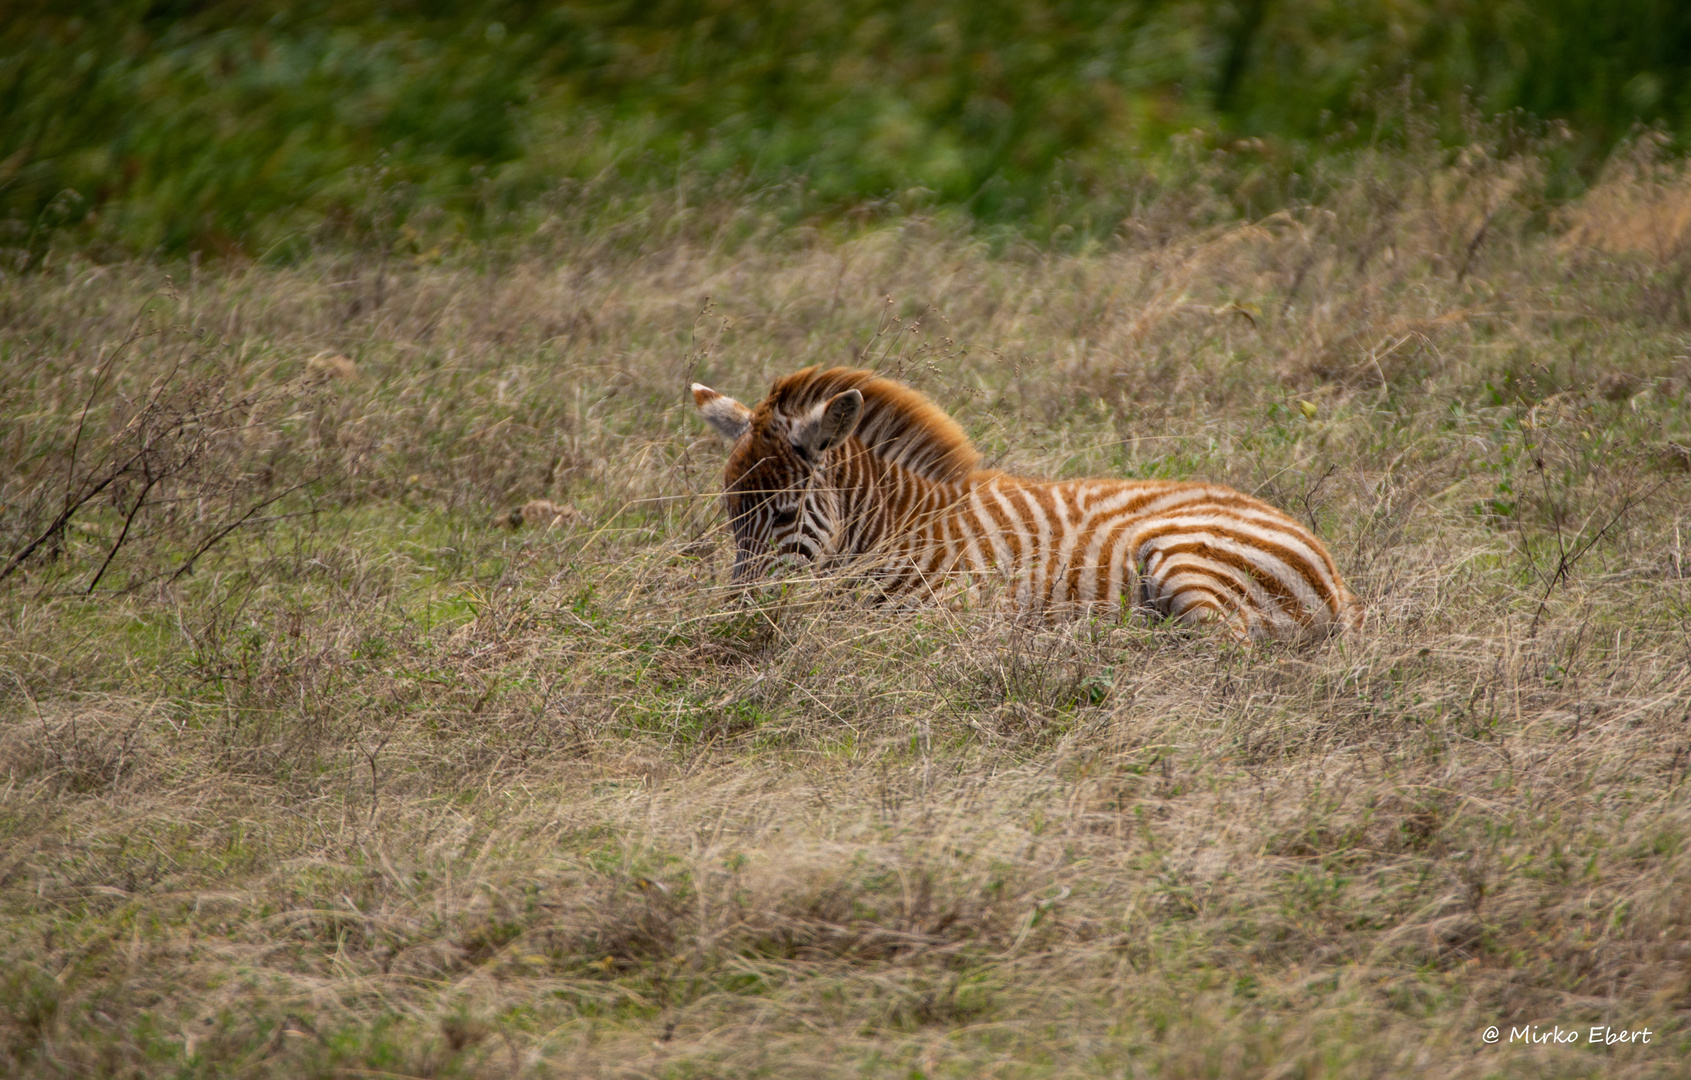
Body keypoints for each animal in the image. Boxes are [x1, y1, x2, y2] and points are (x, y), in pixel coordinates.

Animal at [693, 368, 1366, 638]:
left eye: (783, 513)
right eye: (731, 515)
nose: (734, 623)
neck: (901, 525)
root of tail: (1334, 576)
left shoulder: (956, 611)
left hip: (1185, 557)